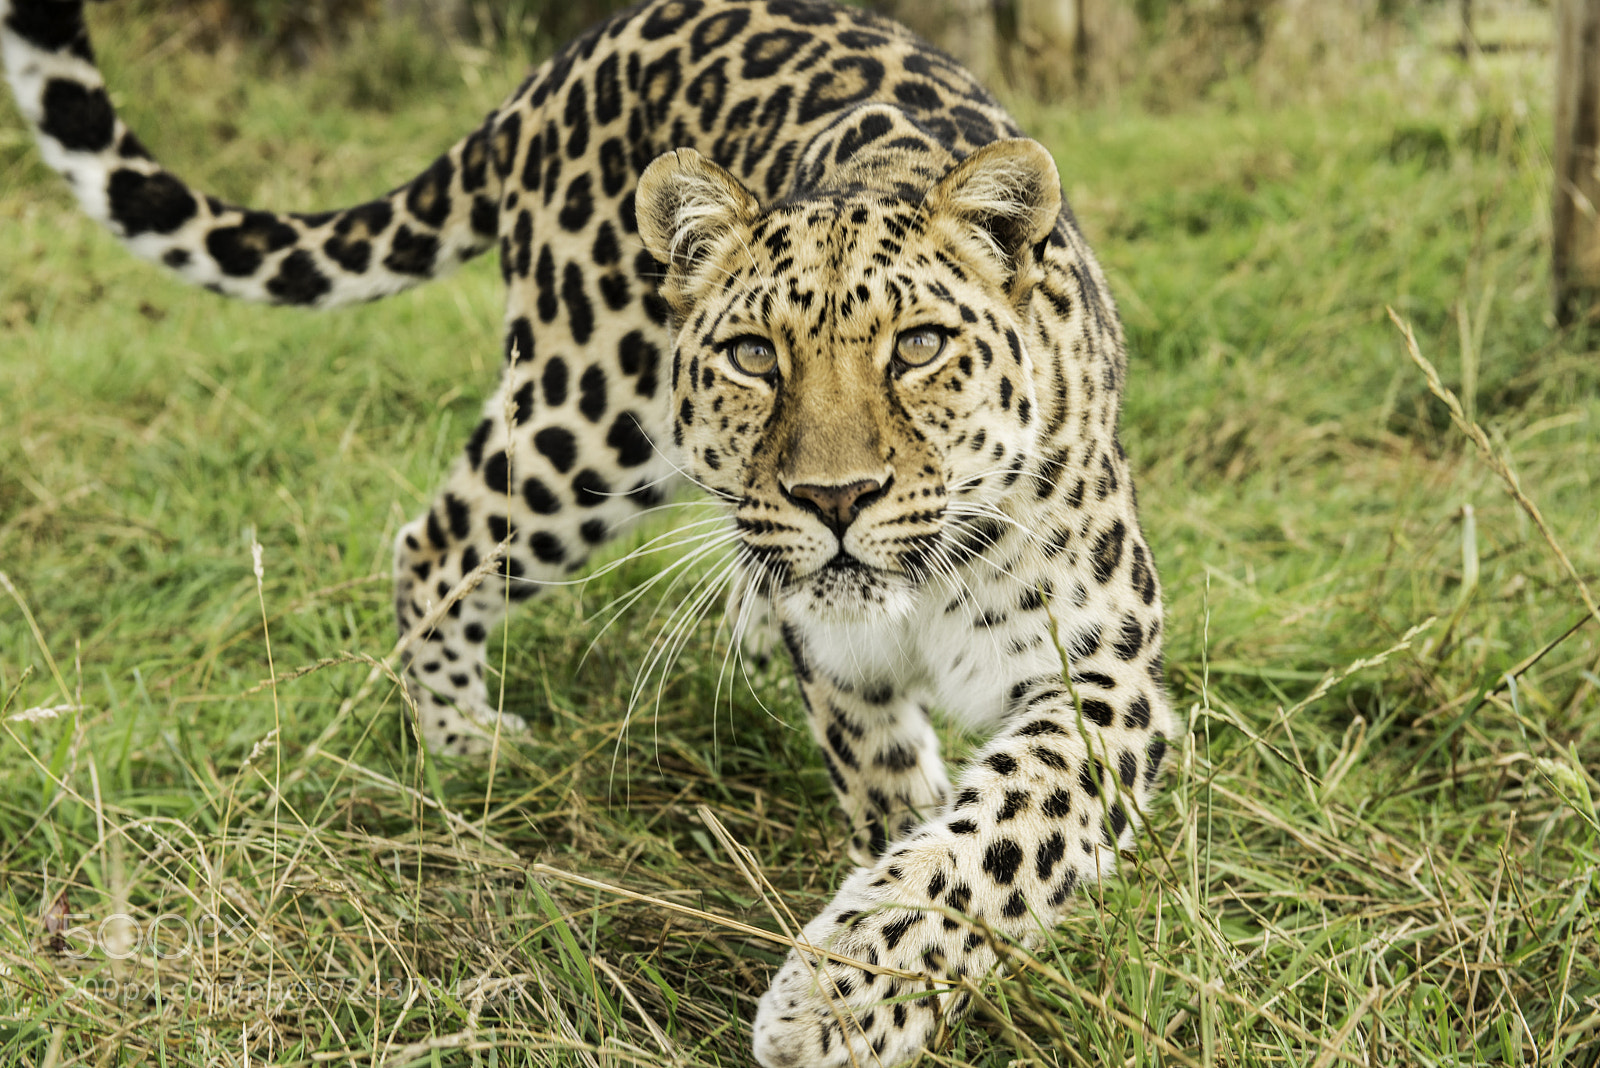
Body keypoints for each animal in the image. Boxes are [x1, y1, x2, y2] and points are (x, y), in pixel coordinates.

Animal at [3, 0, 1177, 1063]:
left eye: (920, 347)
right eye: (754, 356)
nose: (834, 498)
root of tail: (569, 58)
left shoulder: (1106, 676)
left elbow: (996, 837)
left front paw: (838, 998)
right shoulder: (847, 673)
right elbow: (903, 808)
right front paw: (858, 994)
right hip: (583, 421)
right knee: (436, 540)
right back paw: (466, 747)